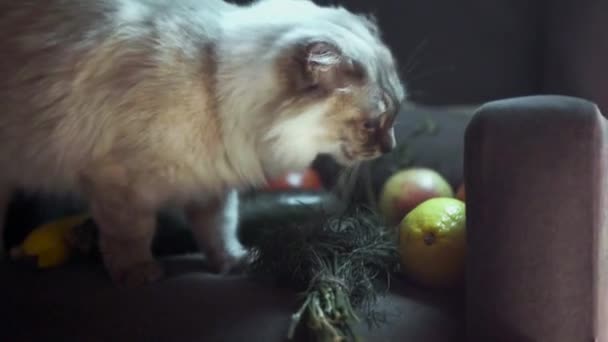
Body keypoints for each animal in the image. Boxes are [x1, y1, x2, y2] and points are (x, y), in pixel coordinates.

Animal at [0, 0, 404, 286]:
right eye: (371, 125)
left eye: (395, 115)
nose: (390, 147)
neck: (213, 86)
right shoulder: (118, 185)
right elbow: (132, 236)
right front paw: (138, 273)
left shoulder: (211, 183)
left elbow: (219, 230)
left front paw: (235, 263)